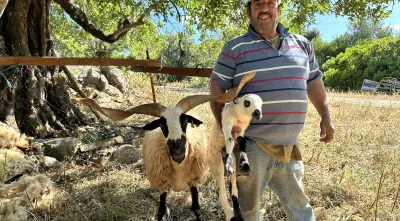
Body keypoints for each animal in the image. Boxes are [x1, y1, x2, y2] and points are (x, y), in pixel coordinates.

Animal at [70, 70, 255, 221]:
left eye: (185, 120)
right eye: (161, 124)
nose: (177, 150)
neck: (179, 167)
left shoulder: (193, 181)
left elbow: (196, 209)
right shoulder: (162, 184)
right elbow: (159, 211)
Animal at [208, 93, 264, 221]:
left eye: (261, 104)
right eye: (247, 102)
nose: (257, 113)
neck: (239, 117)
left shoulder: (240, 131)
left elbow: (242, 142)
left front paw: (246, 166)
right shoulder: (227, 124)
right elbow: (229, 139)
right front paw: (228, 165)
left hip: (233, 163)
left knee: (233, 190)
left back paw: (238, 214)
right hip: (216, 164)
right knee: (221, 193)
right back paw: (231, 217)